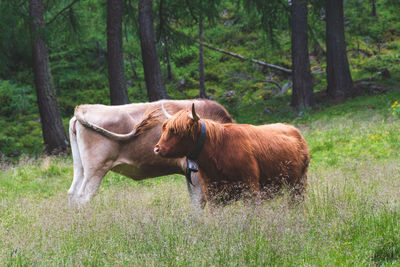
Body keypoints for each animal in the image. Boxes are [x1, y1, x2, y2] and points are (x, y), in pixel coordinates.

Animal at [155, 103, 310, 206]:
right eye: (165, 129)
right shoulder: (212, 194)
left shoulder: (251, 188)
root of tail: (293, 129)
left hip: (299, 183)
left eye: (176, 131)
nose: (157, 149)